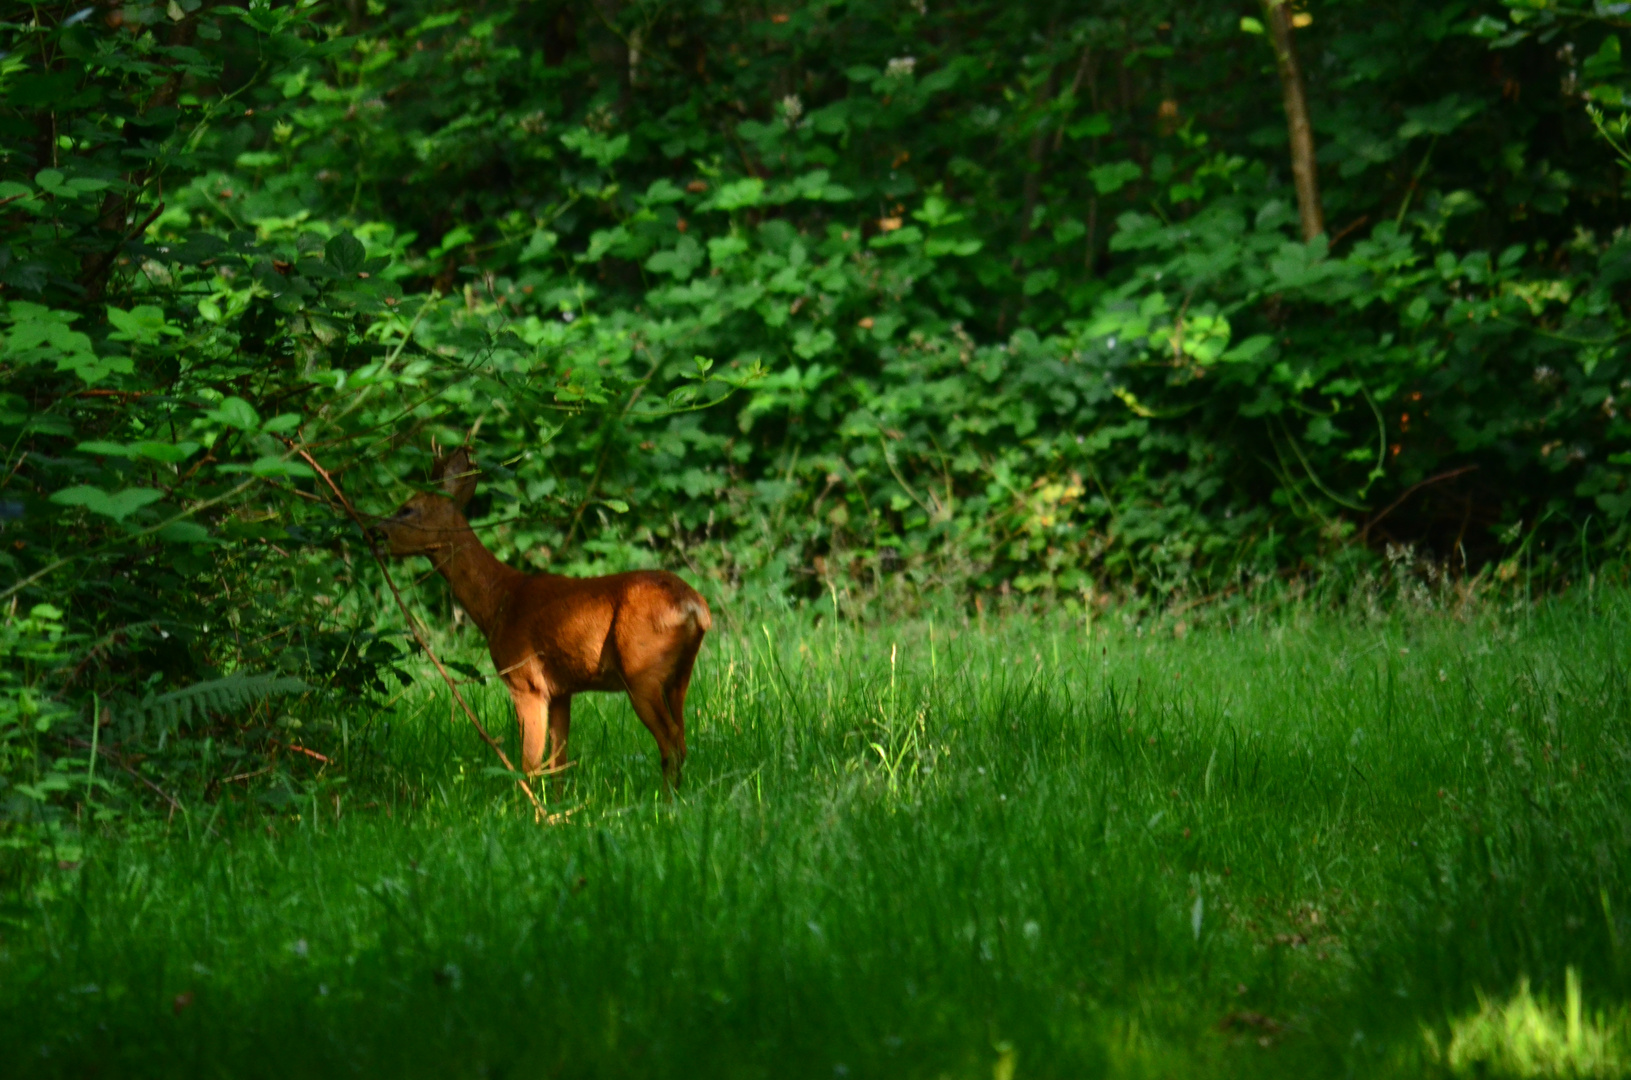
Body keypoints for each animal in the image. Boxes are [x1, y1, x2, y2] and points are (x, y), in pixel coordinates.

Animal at [381, 447, 714, 786]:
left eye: (407, 509)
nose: (373, 532)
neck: (499, 601)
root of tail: (694, 605)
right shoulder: (561, 689)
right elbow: (558, 763)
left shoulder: (526, 680)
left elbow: (529, 763)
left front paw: (529, 802)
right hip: (679, 673)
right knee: (682, 739)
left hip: (641, 669)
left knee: (670, 741)